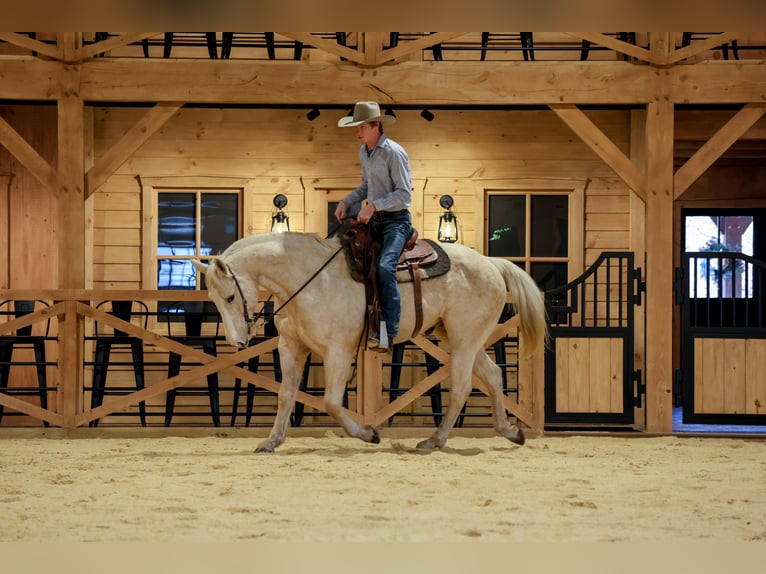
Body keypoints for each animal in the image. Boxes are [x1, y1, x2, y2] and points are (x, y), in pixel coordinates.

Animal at [192, 231, 546, 452]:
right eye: (214, 299)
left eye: (229, 296)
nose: (237, 341)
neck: (309, 279)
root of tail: (491, 263)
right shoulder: (291, 348)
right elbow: (286, 396)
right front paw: (272, 441)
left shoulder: (338, 352)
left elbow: (331, 402)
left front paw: (368, 433)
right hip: (460, 340)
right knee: (493, 376)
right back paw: (511, 431)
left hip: (463, 341)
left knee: (462, 387)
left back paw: (434, 441)